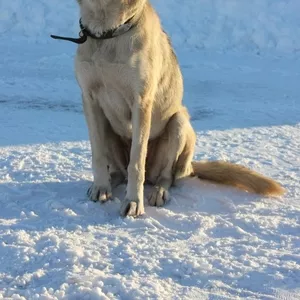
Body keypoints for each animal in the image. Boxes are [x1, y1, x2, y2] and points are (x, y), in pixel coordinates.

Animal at [72, 0, 284, 217]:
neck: (108, 31)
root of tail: (189, 167)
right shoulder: (89, 99)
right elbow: (98, 155)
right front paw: (100, 187)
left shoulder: (141, 102)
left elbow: (136, 163)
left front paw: (133, 201)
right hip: (109, 129)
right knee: (118, 172)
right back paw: (108, 183)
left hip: (178, 122)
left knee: (166, 176)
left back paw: (159, 191)